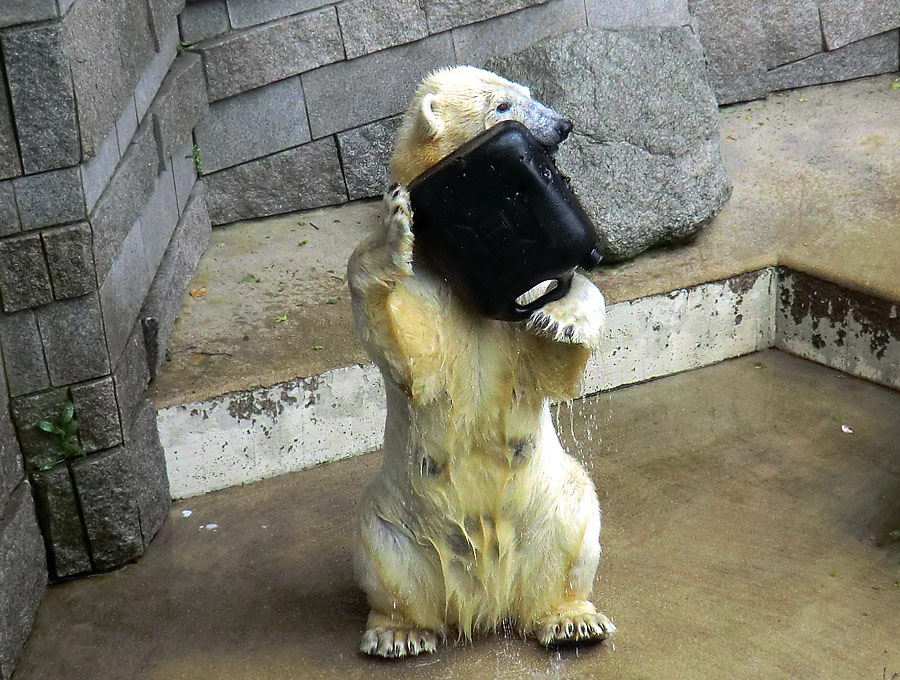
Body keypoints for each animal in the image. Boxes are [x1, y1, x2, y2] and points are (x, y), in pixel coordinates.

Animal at [348, 66, 616, 656]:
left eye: (529, 92)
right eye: (501, 105)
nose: (562, 125)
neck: (461, 280)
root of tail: (485, 602)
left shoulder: (507, 322)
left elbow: (549, 367)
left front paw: (562, 313)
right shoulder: (430, 289)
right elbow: (413, 360)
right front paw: (393, 227)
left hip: (551, 503)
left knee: (575, 525)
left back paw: (571, 621)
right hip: (393, 520)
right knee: (383, 556)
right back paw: (399, 633)